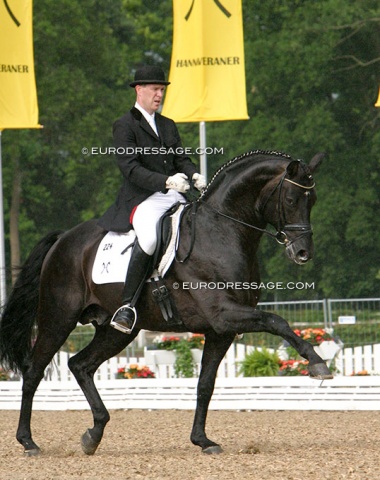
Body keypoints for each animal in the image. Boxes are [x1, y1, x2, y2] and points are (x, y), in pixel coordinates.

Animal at [0, 150, 332, 458]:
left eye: (313, 200)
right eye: (291, 199)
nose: (303, 253)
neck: (222, 231)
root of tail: (63, 239)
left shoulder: (220, 331)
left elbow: (205, 384)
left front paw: (203, 440)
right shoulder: (224, 316)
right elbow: (277, 321)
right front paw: (317, 363)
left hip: (118, 330)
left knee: (80, 364)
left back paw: (93, 434)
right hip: (58, 319)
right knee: (33, 371)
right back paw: (29, 442)